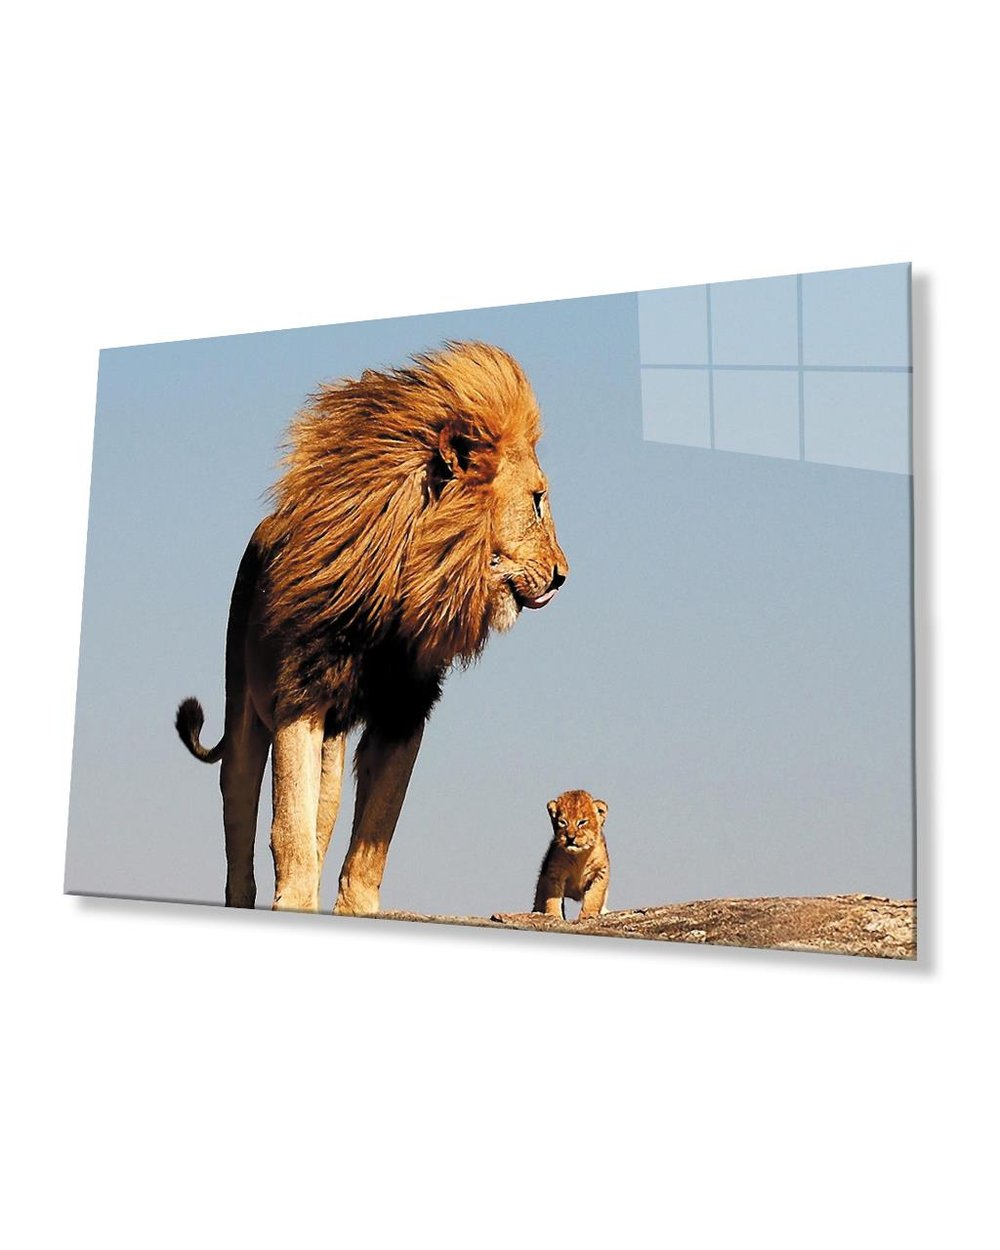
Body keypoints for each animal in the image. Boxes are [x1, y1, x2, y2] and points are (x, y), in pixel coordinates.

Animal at [175, 341, 569, 915]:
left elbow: (374, 833)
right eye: (538, 501)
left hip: (333, 750)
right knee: (241, 819)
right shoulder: (300, 697)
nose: (563, 576)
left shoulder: (405, 712)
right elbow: (288, 826)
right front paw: (295, 900)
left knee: (323, 816)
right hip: (243, 709)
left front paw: (356, 907)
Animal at [533, 790, 610, 920]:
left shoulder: (600, 872)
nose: (570, 837)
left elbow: (594, 896)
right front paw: (554, 915)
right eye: (563, 822)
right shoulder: (555, 872)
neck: (579, 857)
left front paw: (587, 915)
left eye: (582, 822)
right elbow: (553, 897)